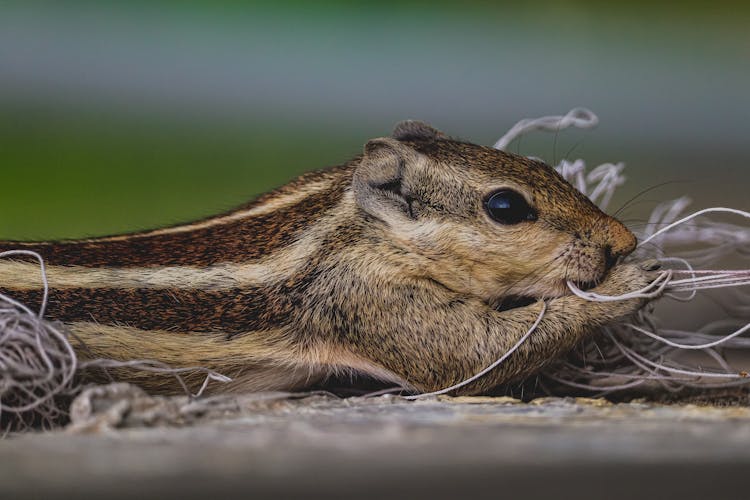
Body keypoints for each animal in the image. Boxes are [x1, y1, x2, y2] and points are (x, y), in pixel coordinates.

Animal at [0, 120, 656, 394]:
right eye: (505, 205)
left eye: (545, 167)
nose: (624, 240)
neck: (348, 221)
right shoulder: (368, 299)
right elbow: (473, 354)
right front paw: (632, 280)